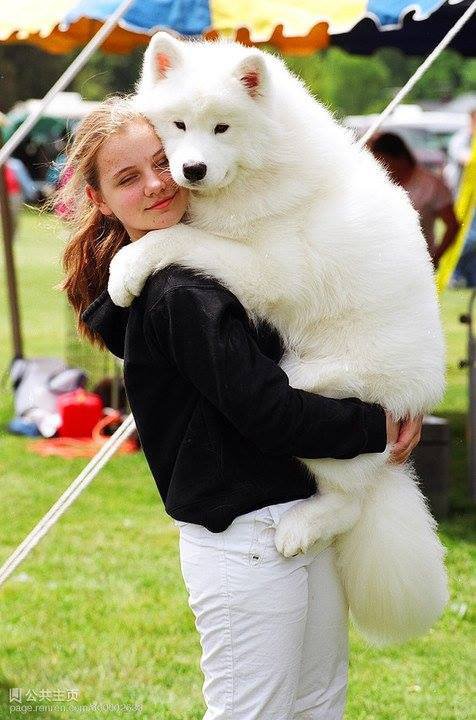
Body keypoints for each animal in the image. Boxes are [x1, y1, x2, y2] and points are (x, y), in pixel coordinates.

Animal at [109, 32, 450, 648]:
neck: (260, 168)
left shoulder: (266, 266)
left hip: (314, 394)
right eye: (178, 124)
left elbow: (174, 240)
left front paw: (124, 268)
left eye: (222, 128)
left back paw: (301, 527)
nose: (192, 169)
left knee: (348, 499)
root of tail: (419, 397)